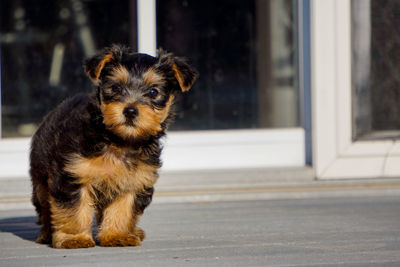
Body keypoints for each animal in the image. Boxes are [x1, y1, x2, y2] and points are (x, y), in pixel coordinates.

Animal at [29, 43, 197, 249]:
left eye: (153, 92)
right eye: (116, 87)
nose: (130, 111)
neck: (120, 140)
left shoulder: (134, 181)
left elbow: (122, 209)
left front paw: (116, 235)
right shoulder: (72, 174)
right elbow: (73, 210)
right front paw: (74, 238)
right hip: (41, 178)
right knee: (45, 207)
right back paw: (47, 233)